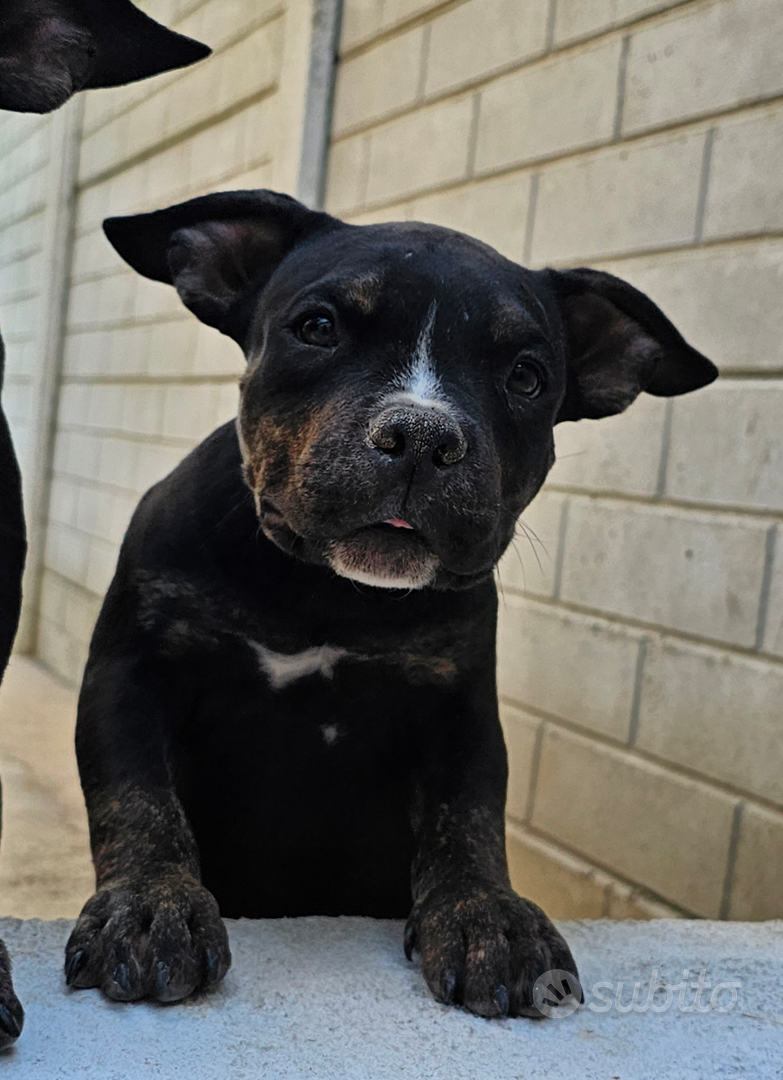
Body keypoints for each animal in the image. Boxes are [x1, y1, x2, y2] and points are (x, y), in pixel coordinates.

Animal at [64, 190, 717, 1015]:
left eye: (527, 377)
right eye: (317, 327)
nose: (421, 434)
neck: (322, 590)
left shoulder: (458, 714)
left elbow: (467, 818)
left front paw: (487, 917)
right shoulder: (130, 677)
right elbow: (137, 797)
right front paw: (150, 904)